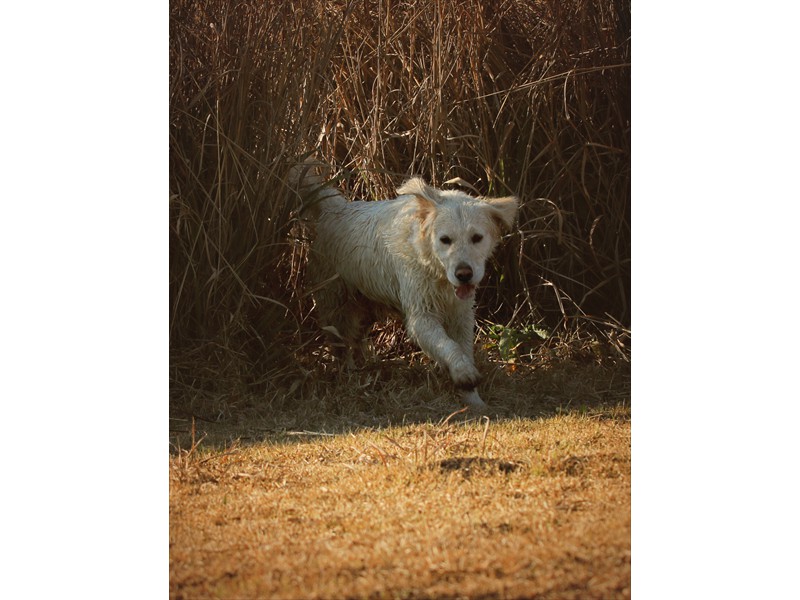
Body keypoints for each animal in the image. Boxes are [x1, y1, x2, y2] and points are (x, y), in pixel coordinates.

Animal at [294, 162, 520, 410]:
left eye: (477, 237)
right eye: (445, 240)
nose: (463, 274)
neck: (435, 269)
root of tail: (336, 208)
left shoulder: (461, 315)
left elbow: (462, 347)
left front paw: (473, 399)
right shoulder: (421, 316)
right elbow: (447, 345)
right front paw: (464, 374)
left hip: (365, 306)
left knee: (357, 340)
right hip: (336, 304)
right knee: (341, 344)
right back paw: (349, 375)